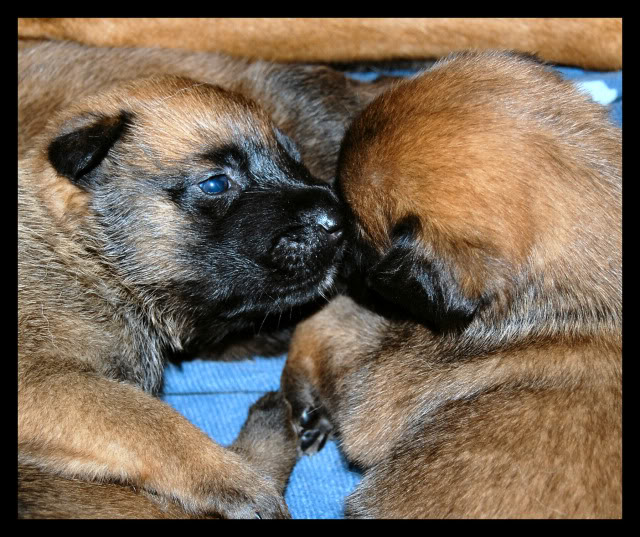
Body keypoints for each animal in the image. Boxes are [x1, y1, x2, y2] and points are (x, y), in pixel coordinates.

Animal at [17, 72, 350, 520]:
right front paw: (237, 479)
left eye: (292, 158)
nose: (340, 219)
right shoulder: (40, 379)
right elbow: (146, 421)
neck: (85, 255)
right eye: (215, 183)